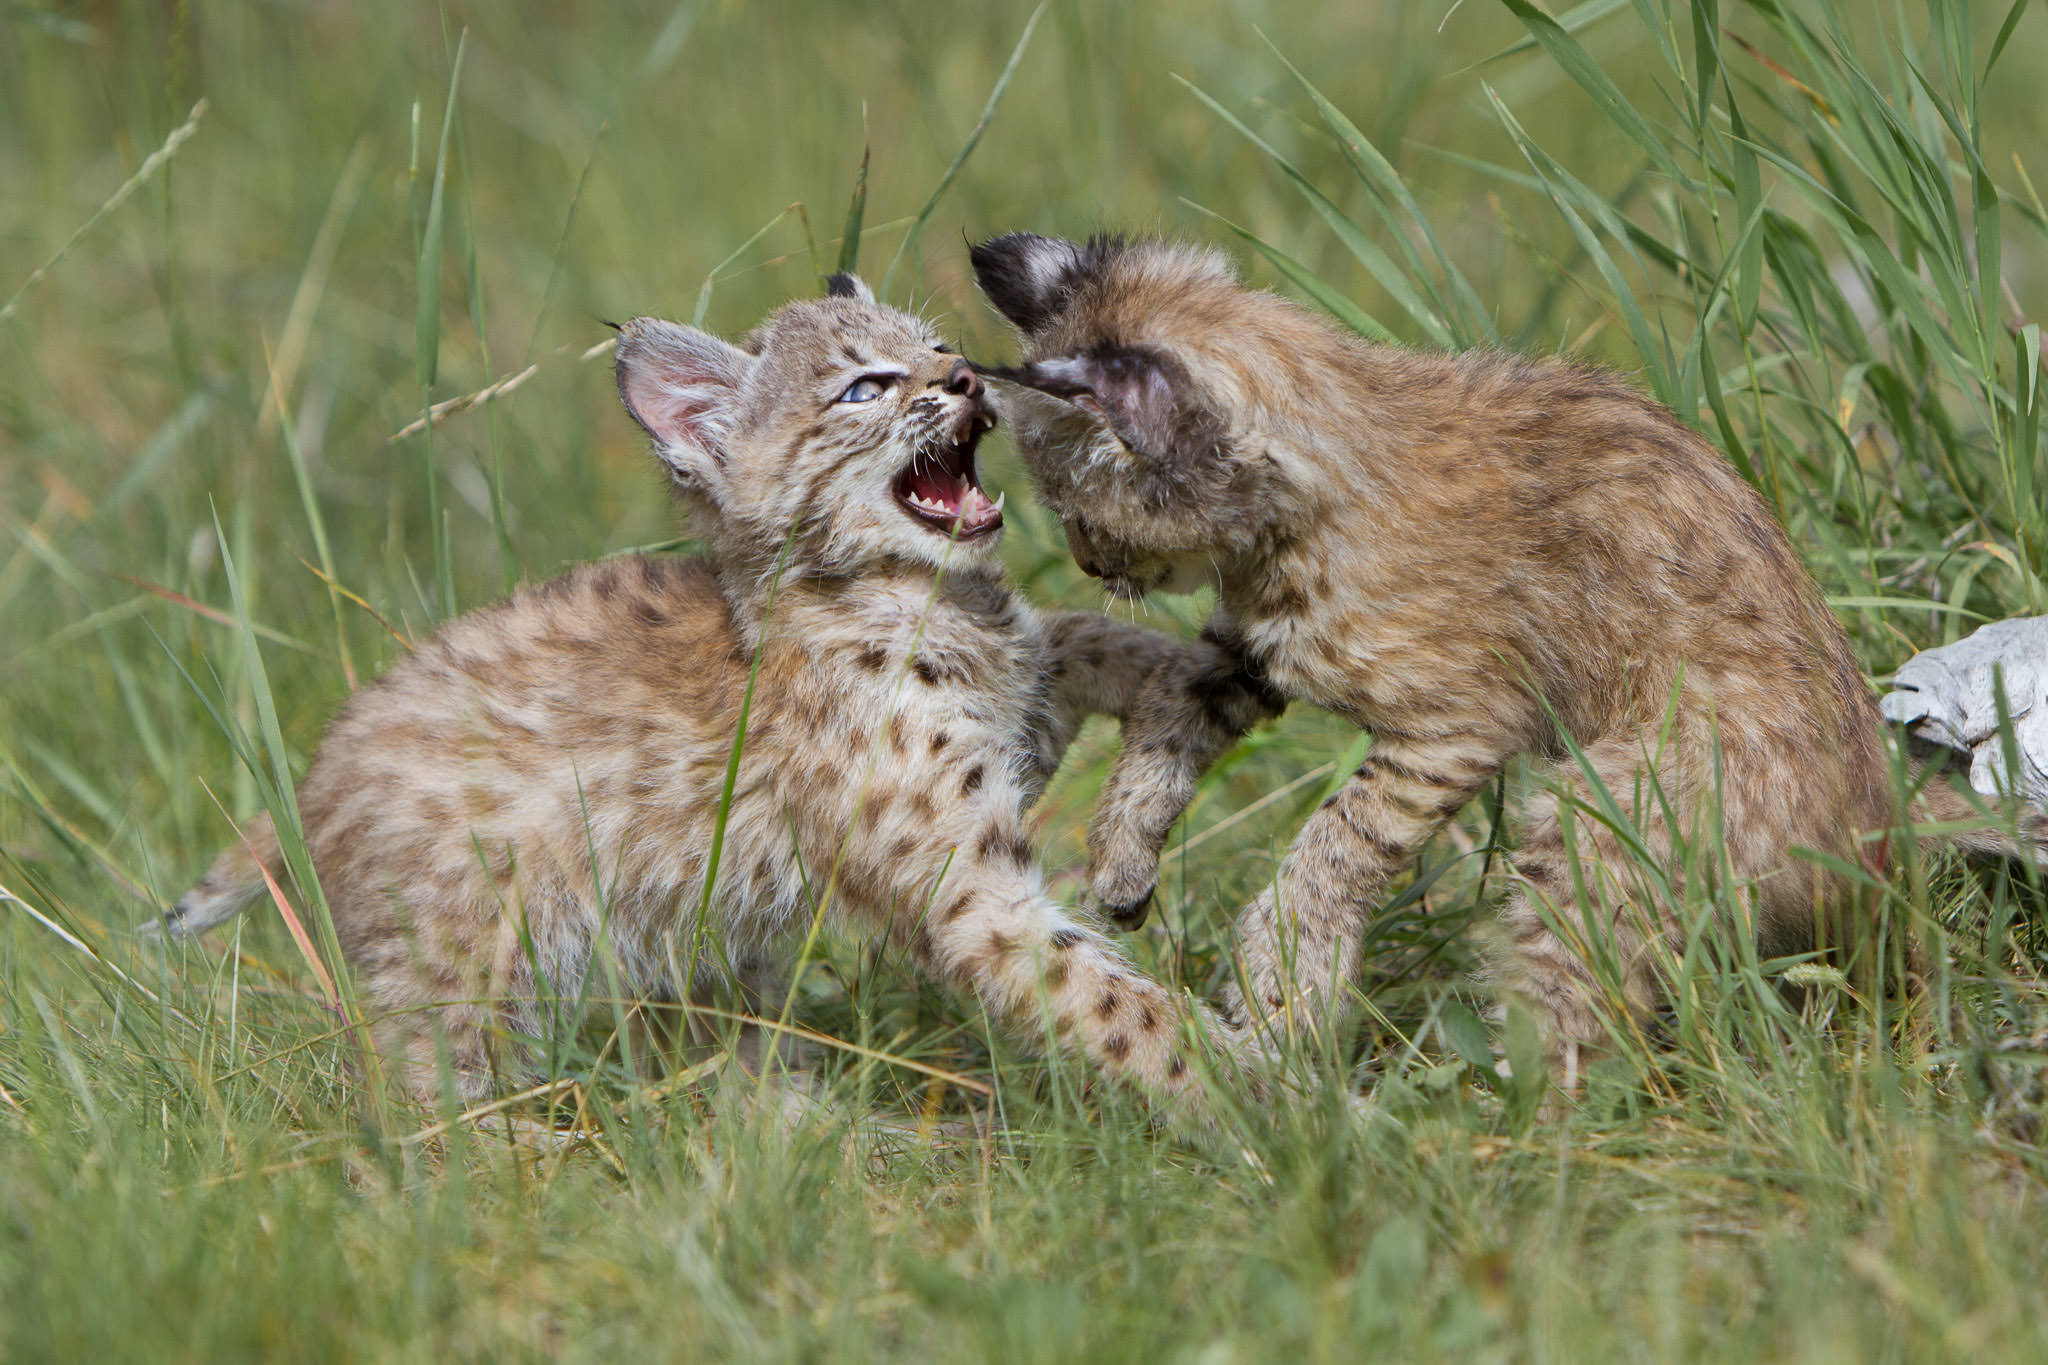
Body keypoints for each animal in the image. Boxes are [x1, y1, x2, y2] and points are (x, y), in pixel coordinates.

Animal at [159, 274, 1236, 1113]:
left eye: (937, 347)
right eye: (865, 388)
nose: (969, 377)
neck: (913, 593)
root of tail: (315, 769)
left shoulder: (1016, 715)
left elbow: (1091, 638)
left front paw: (1185, 719)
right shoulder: (966, 889)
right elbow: (1112, 1005)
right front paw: (1258, 1102)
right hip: (459, 963)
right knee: (408, 1099)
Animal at [966, 229, 2039, 1072]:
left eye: (1075, 506)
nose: (1085, 562)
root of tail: (1880, 816)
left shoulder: (1457, 722)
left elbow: (1335, 842)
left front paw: (1286, 982)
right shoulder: (1247, 655)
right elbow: (1171, 713)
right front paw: (1123, 853)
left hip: (1603, 815)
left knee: (1576, 994)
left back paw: (1498, 1132)